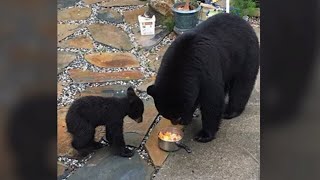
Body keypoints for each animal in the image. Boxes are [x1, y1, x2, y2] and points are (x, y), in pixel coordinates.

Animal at [148, 13, 260, 143]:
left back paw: (230, 111)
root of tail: (245, 22)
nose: (177, 123)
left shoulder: (205, 68)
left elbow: (212, 100)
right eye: (167, 114)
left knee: (241, 85)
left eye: (177, 115)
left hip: (246, 55)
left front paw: (204, 135)